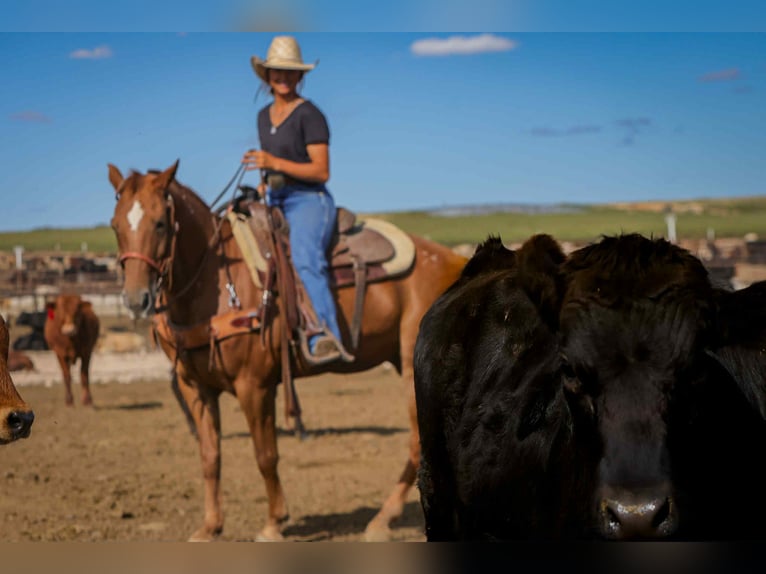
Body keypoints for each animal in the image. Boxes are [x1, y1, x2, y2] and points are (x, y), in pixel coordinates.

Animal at [107, 160, 468, 541]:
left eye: (160, 223)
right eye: (115, 225)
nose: (136, 299)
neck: (218, 283)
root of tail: (456, 261)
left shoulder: (254, 386)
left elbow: (265, 455)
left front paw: (273, 522)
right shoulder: (196, 387)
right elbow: (209, 456)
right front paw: (210, 526)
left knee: (420, 443)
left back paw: (383, 520)